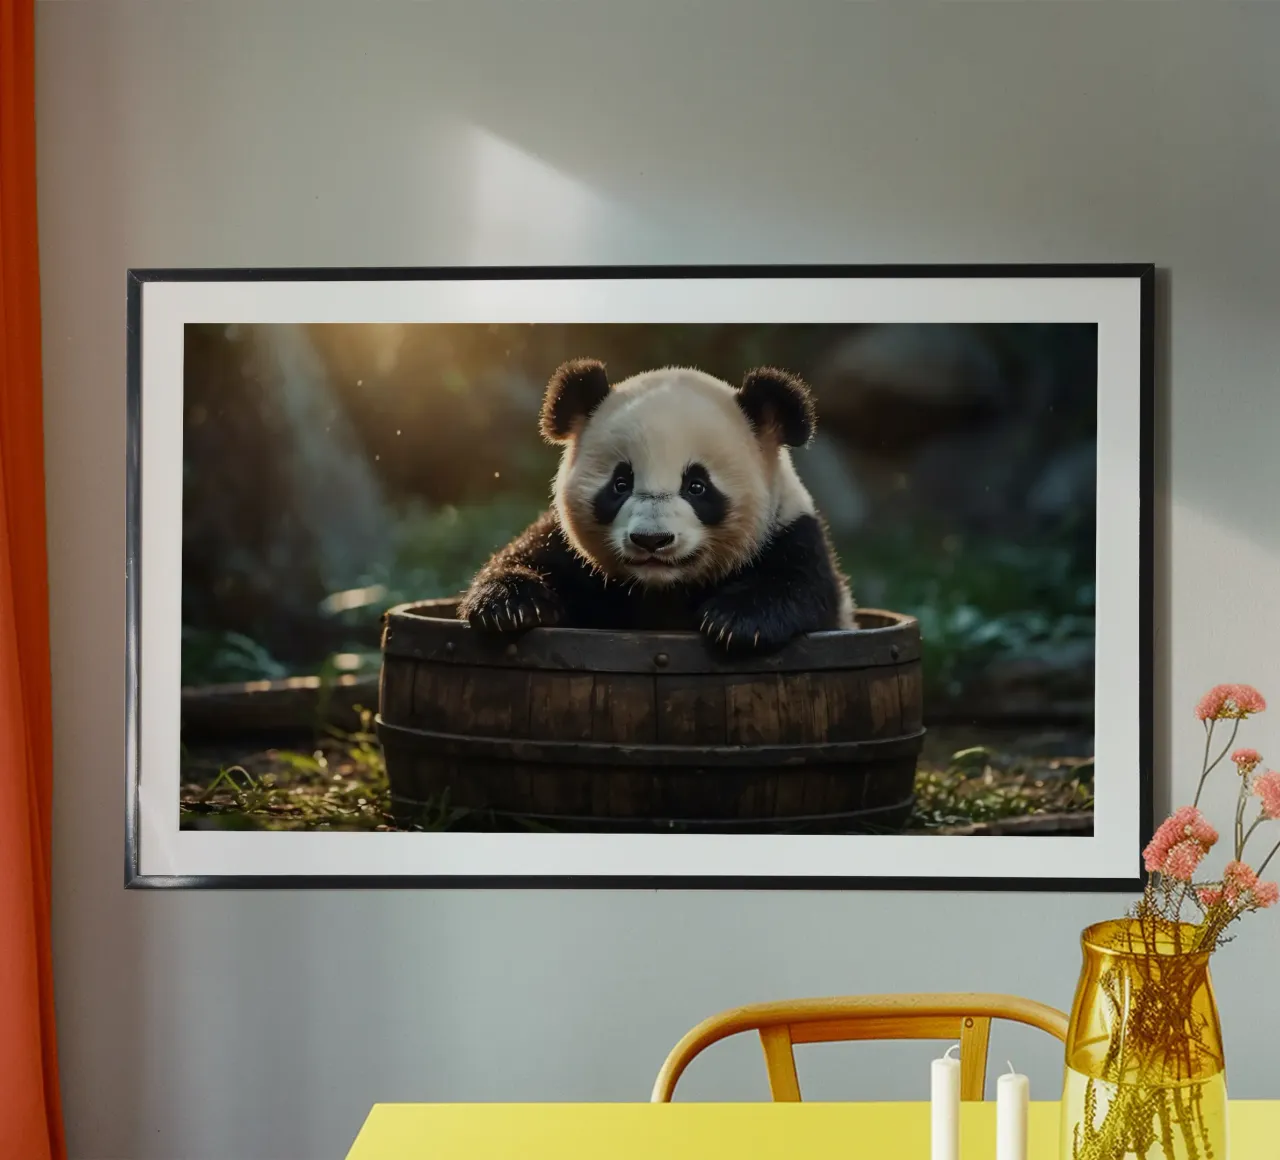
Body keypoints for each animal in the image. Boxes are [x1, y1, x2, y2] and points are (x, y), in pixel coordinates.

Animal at [457, 358, 854, 655]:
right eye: (620, 484)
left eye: (697, 486)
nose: (652, 540)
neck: (664, 589)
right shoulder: (568, 549)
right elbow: (527, 557)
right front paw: (509, 606)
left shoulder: (791, 533)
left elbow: (801, 585)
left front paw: (737, 621)